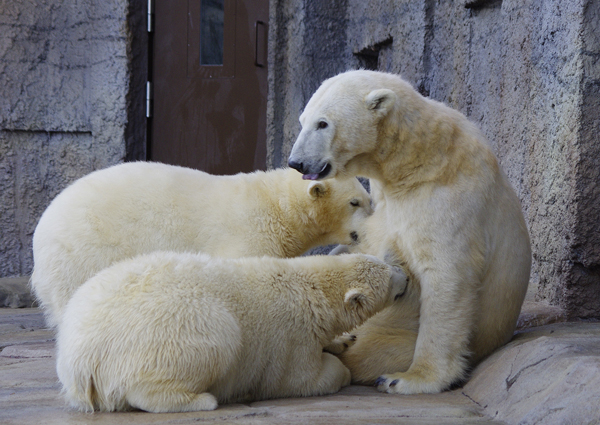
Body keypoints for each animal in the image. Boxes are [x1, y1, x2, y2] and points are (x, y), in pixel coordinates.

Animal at [30, 162, 372, 328]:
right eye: (355, 202)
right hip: (84, 248)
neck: (278, 207)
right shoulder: (247, 232)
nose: (372, 223)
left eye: (366, 198)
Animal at [56, 252, 408, 410]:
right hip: (173, 331)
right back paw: (202, 400)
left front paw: (344, 340)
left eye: (387, 264)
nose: (406, 274)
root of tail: (80, 361)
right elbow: (303, 378)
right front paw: (340, 369)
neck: (310, 289)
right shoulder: (289, 337)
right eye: (391, 278)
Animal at [288, 70, 532, 394]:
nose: (296, 162)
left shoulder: (447, 198)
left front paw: (408, 379)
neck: (415, 162)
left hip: (388, 338)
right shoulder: (383, 200)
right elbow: (363, 243)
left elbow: (445, 275)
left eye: (323, 123)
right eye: (303, 120)